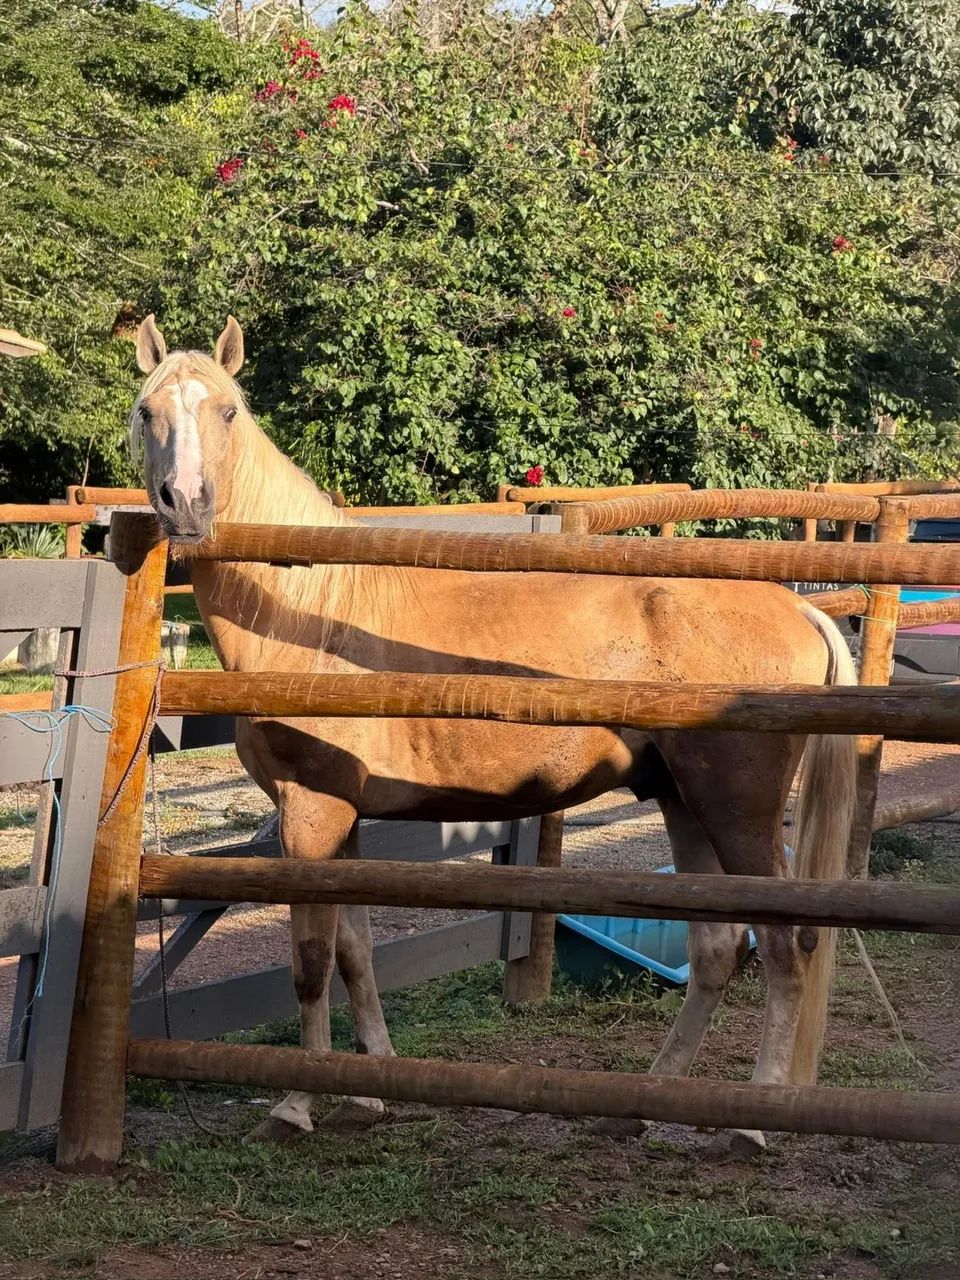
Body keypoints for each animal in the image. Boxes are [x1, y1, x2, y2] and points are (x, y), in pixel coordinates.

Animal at [131, 314, 857, 1153]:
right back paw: (650, 1101)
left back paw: (753, 1124)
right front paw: (371, 1087)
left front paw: (296, 1102)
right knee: (716, 953)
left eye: (227, 411)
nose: (186, 504)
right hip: (682, 801)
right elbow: (355, 953)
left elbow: (311, 962)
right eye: (147, 411)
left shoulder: (311, 815)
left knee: (781, 948)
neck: (311, 610)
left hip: (736, 809)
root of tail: (796, 605)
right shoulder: (342, 819)